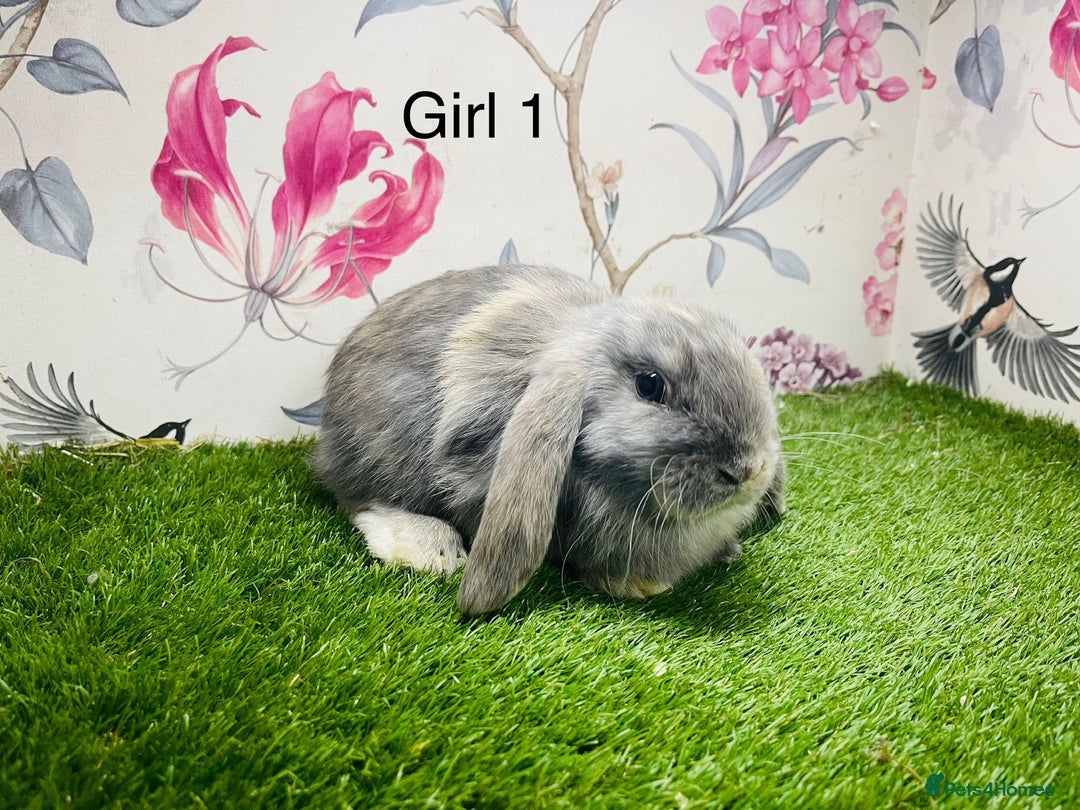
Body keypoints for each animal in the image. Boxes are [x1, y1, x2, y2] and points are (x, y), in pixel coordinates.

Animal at [313, 265, 786, 614]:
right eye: (650, 385)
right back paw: (431, 549)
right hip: (381, 450)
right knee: (362, 499)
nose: (746, 470)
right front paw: (639, 584)